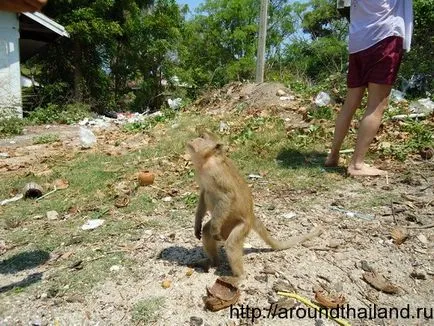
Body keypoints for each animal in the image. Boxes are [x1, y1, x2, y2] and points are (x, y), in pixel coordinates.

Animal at [186, 129, 322, 278]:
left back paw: (238, 277)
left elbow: (227, 196)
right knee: (206, 231)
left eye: (202, 137)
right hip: (227, 223)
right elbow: (203, 194)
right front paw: (197, 224)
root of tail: (251, 215)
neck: (207, 161)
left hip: (242, 225)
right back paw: (214, 262)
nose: (192, 139)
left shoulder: (216, 172)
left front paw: (215, 229)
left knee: (231, 244)